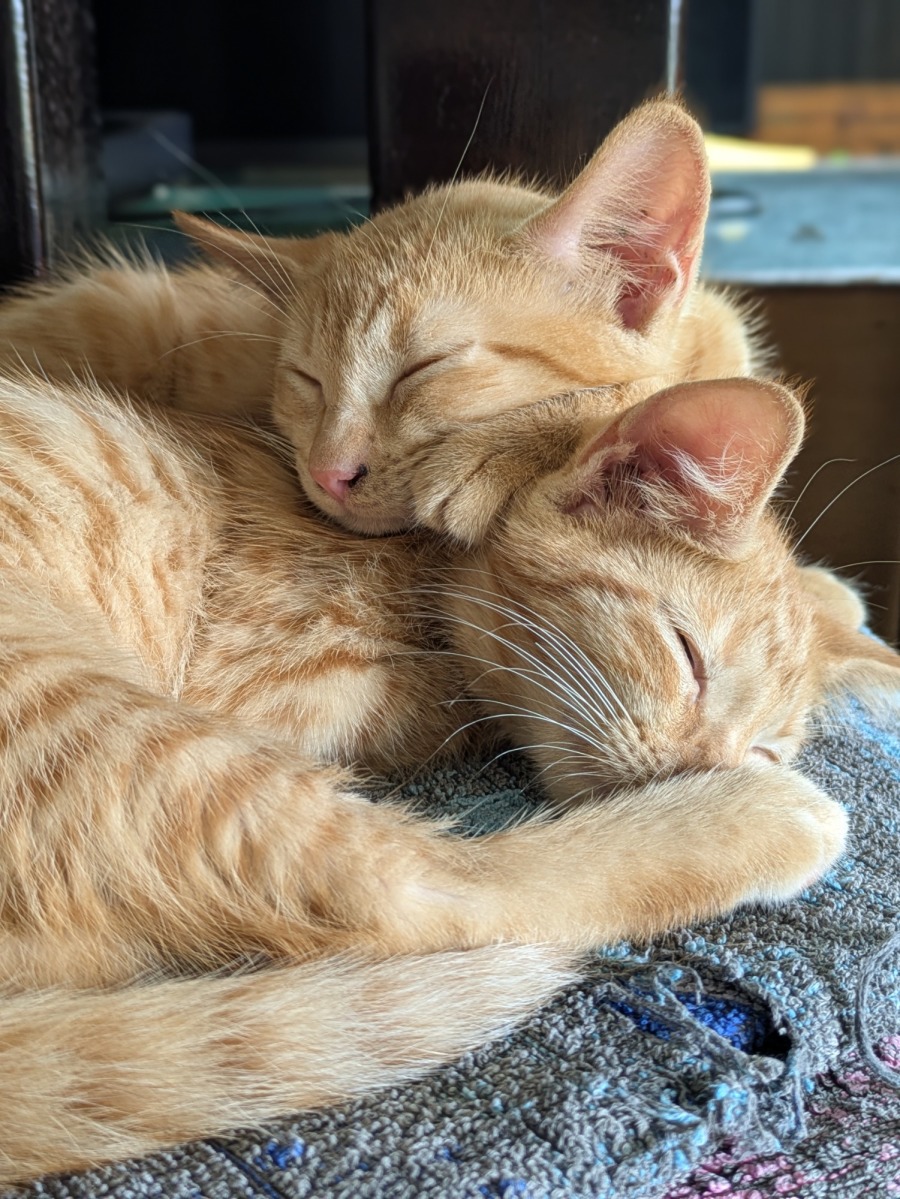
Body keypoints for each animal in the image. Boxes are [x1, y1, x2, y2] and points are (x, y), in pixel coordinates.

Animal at [0, 361, 895, 1183]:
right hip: (84, 708)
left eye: (763, 742)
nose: (708, 766)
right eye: (688, 657)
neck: (422, 573)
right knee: (418, 890)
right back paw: (766, 822)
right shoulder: (268, 685)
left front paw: (835, 601)